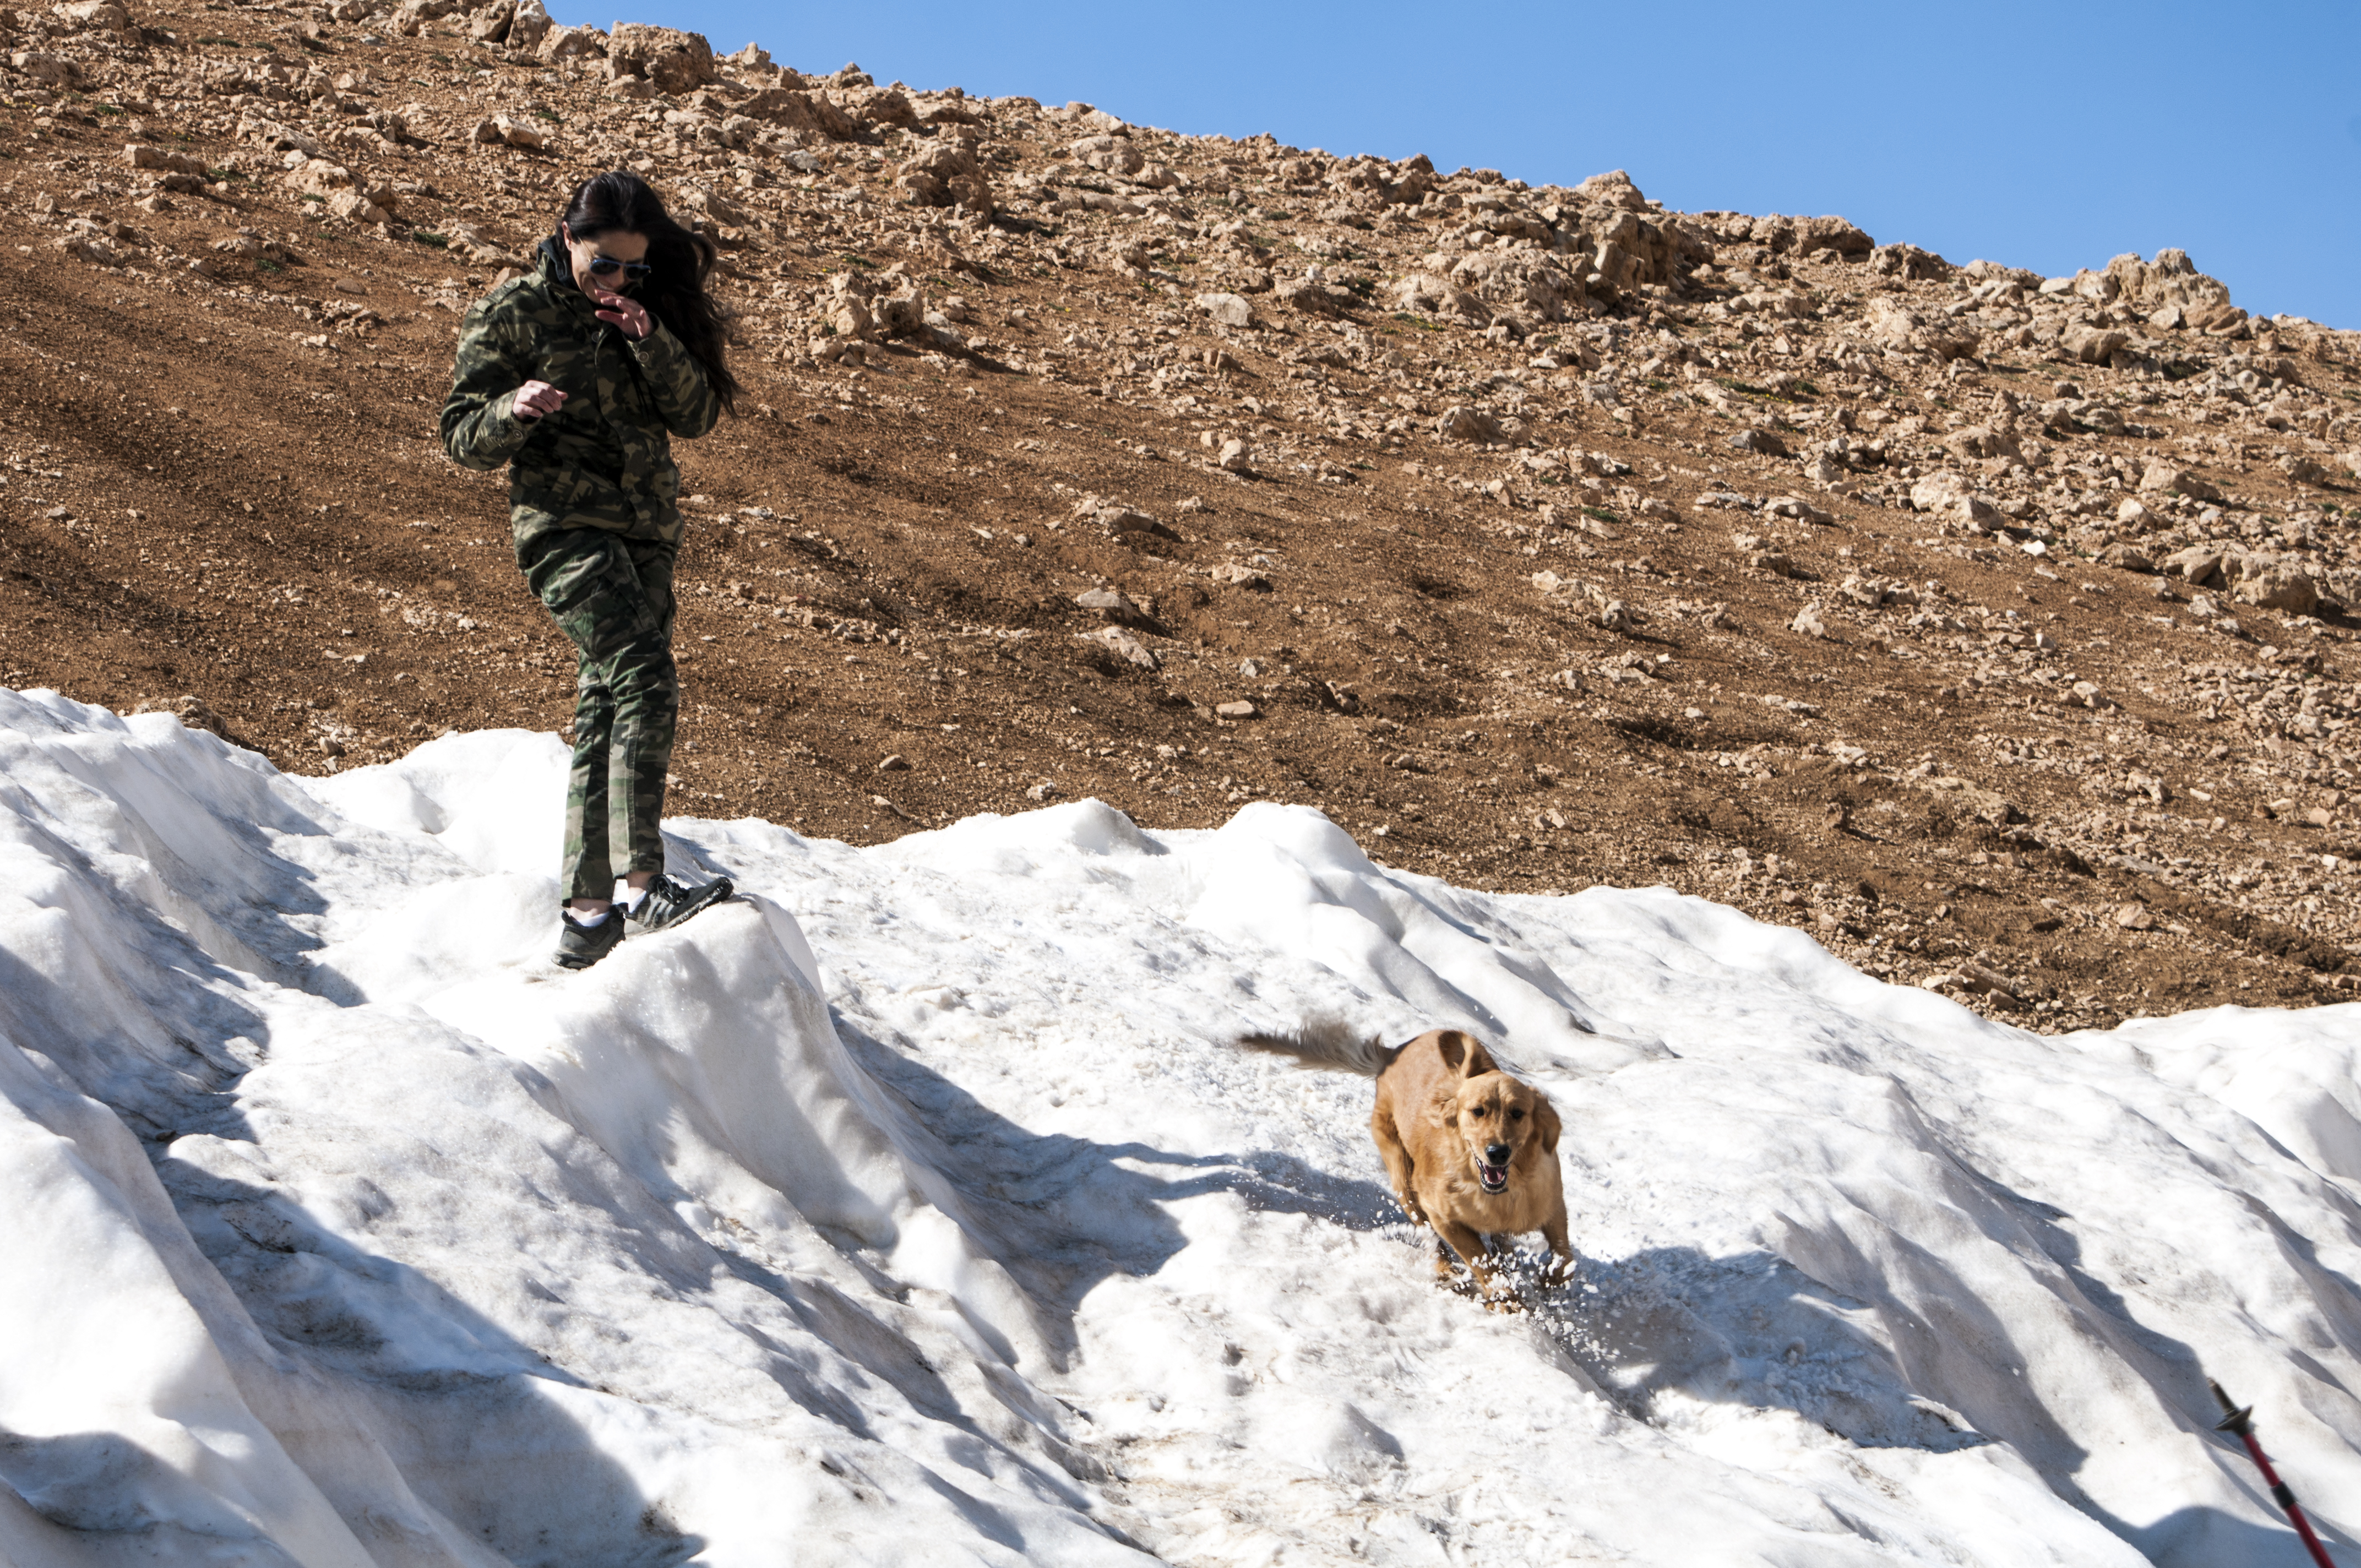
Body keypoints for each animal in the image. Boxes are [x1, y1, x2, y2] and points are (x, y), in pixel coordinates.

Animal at [1237, 1015, 1568, 1313]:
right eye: (1478, 1111)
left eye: (1517, 1113)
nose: (1497, 1152)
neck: (1495, 1194)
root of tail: (1393, 1054)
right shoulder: (1443, 1216)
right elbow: (1479, 1258)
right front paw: (1506, 1299)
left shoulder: (1552, 1202)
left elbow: (1565, 1257)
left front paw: (1549, 1279)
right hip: (1403, 1180)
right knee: (1430, 1236)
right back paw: (1447, 1270)